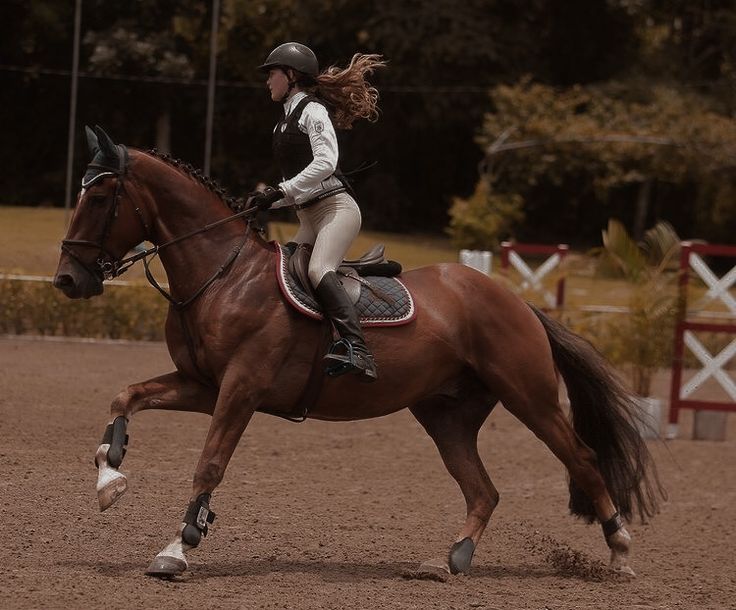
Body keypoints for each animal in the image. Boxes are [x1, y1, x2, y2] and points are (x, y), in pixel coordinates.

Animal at [53, 127, 660, 576]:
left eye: (100, 198)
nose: (67, 280)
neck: (220, 276)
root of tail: (515, 299)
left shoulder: (241, 388)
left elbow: (210, 463)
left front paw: (177, 549)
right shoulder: (204, 385)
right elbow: (125, 396)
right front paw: (109, 478)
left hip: (527, 396)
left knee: (581, 458)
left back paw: (620, 552)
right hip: (446, 414)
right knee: (483, 490)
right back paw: (452, 560)